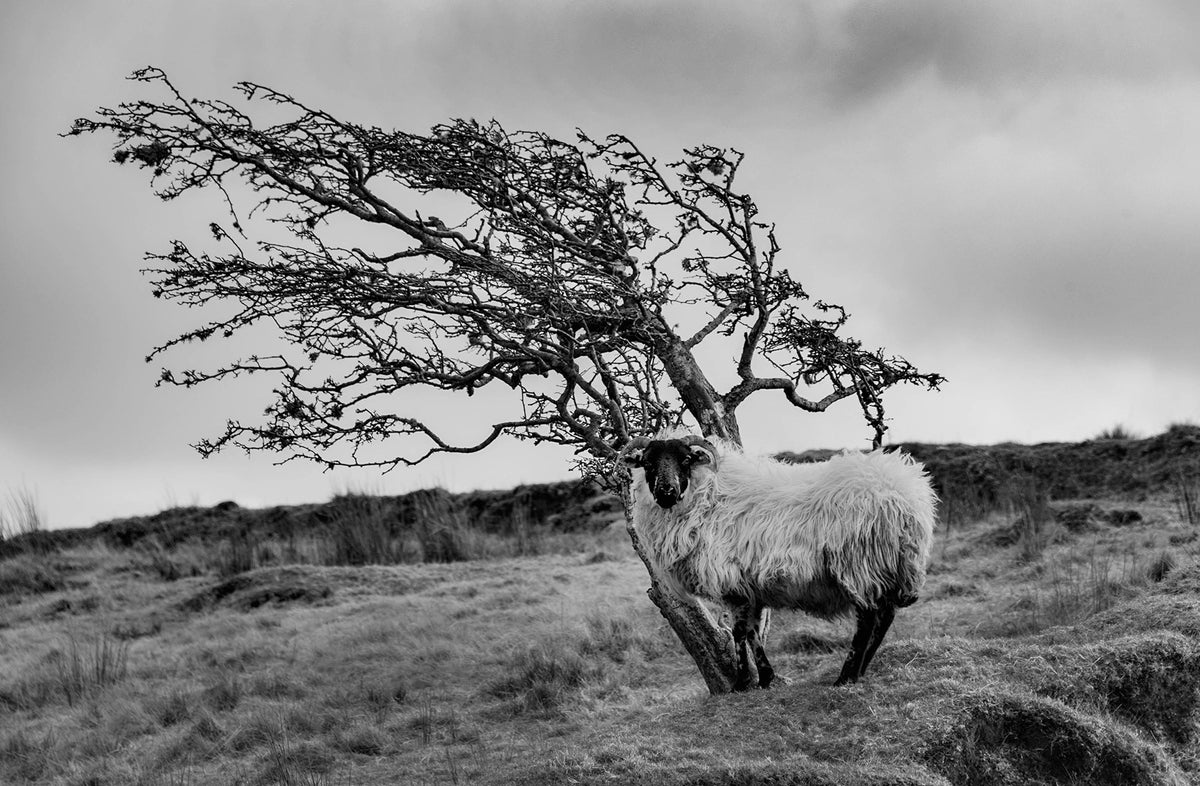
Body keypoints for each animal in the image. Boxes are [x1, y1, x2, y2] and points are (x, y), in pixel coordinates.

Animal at [621, 429, 936, 690]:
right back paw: (861, 670)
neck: (707, 497)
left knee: (869, 618)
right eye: (647, 463)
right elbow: (753, 632)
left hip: (859, 561)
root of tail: (905, 498)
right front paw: (764, 678)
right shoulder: (750, 586)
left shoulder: (732, 582)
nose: (666, 492)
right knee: (886, 615)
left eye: (686, 460)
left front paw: (742, 683)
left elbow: (738, 632)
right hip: (889, 564)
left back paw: (845, 677)